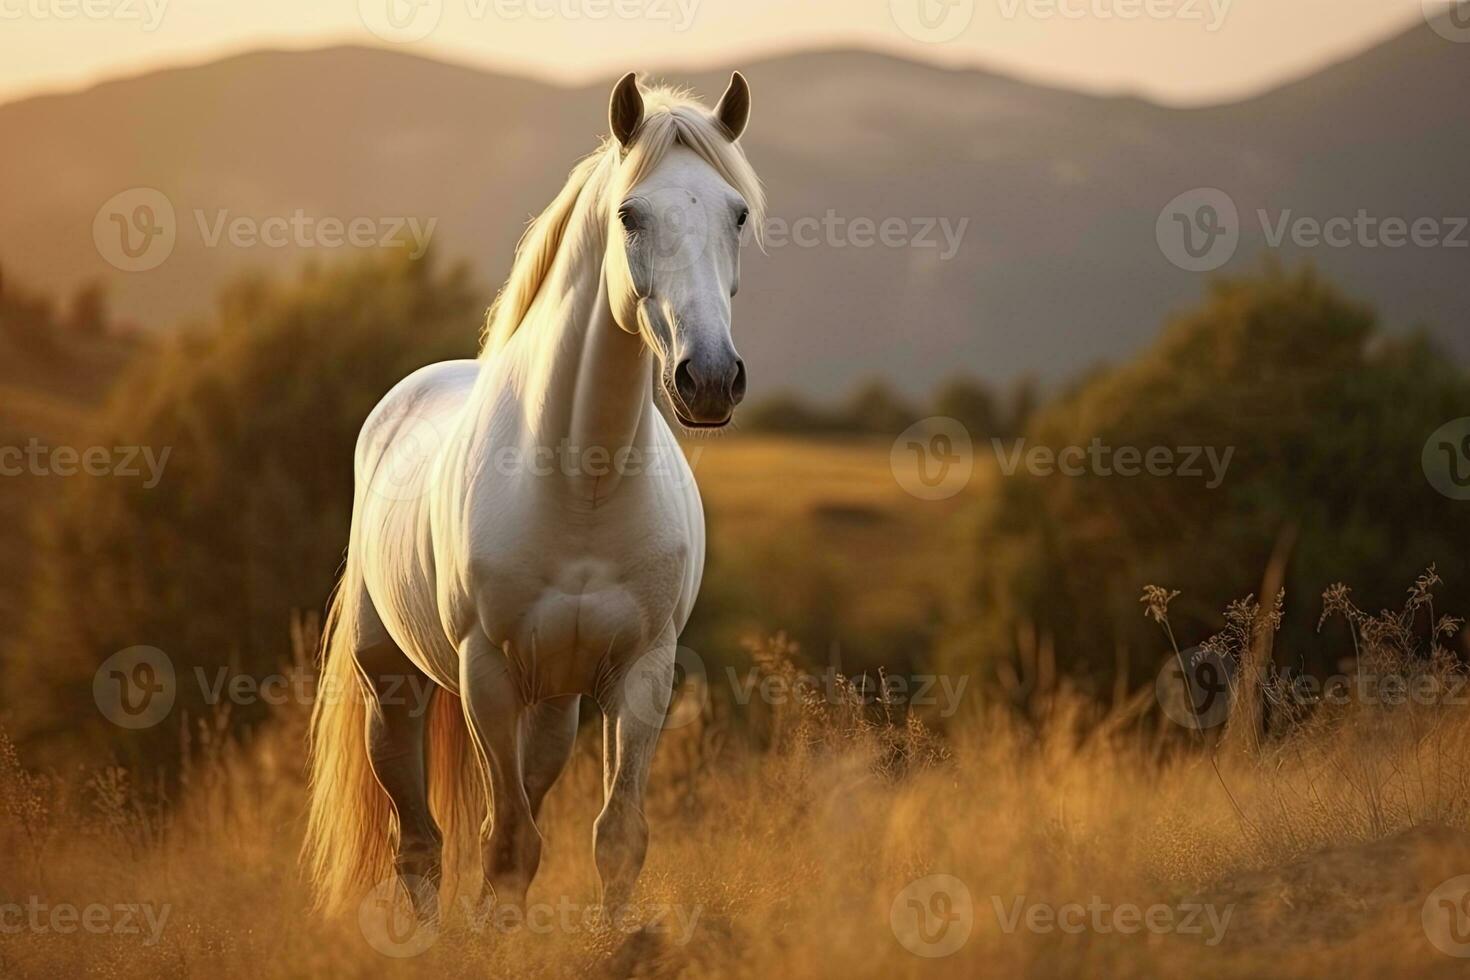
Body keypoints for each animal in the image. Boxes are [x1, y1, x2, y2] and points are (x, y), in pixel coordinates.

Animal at [302, 70, 764, 922]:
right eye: (630, 215)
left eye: (737, 214)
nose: (711, 379)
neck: (582, 485)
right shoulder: (485, 677)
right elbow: (507, 847)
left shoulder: (643, 675)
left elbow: (615, 840)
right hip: (393, 687)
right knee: (420, 847)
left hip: (553, 704)